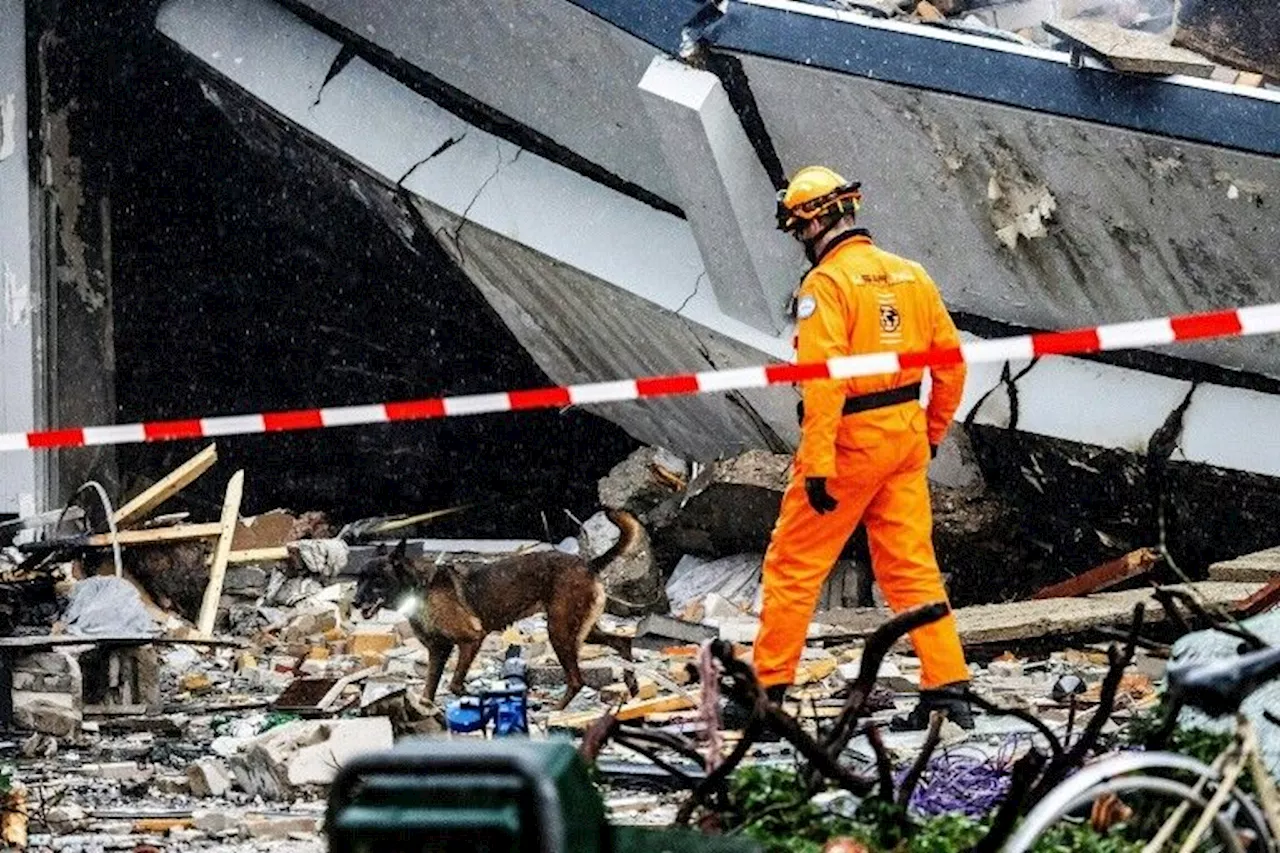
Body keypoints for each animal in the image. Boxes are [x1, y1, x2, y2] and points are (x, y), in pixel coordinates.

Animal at [355, 507, 640, 706]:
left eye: (377, 581)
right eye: (359, 579)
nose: (356, 602)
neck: (420, 588)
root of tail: (589, 564)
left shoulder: (471, 639)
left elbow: (455, 684)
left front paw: (472, 696)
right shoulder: (438, 651)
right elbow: (428, 691)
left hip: (560, 631)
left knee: (577, 680)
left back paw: (556, 712)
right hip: (582, 630)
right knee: (622, 642)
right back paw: (633, 686)